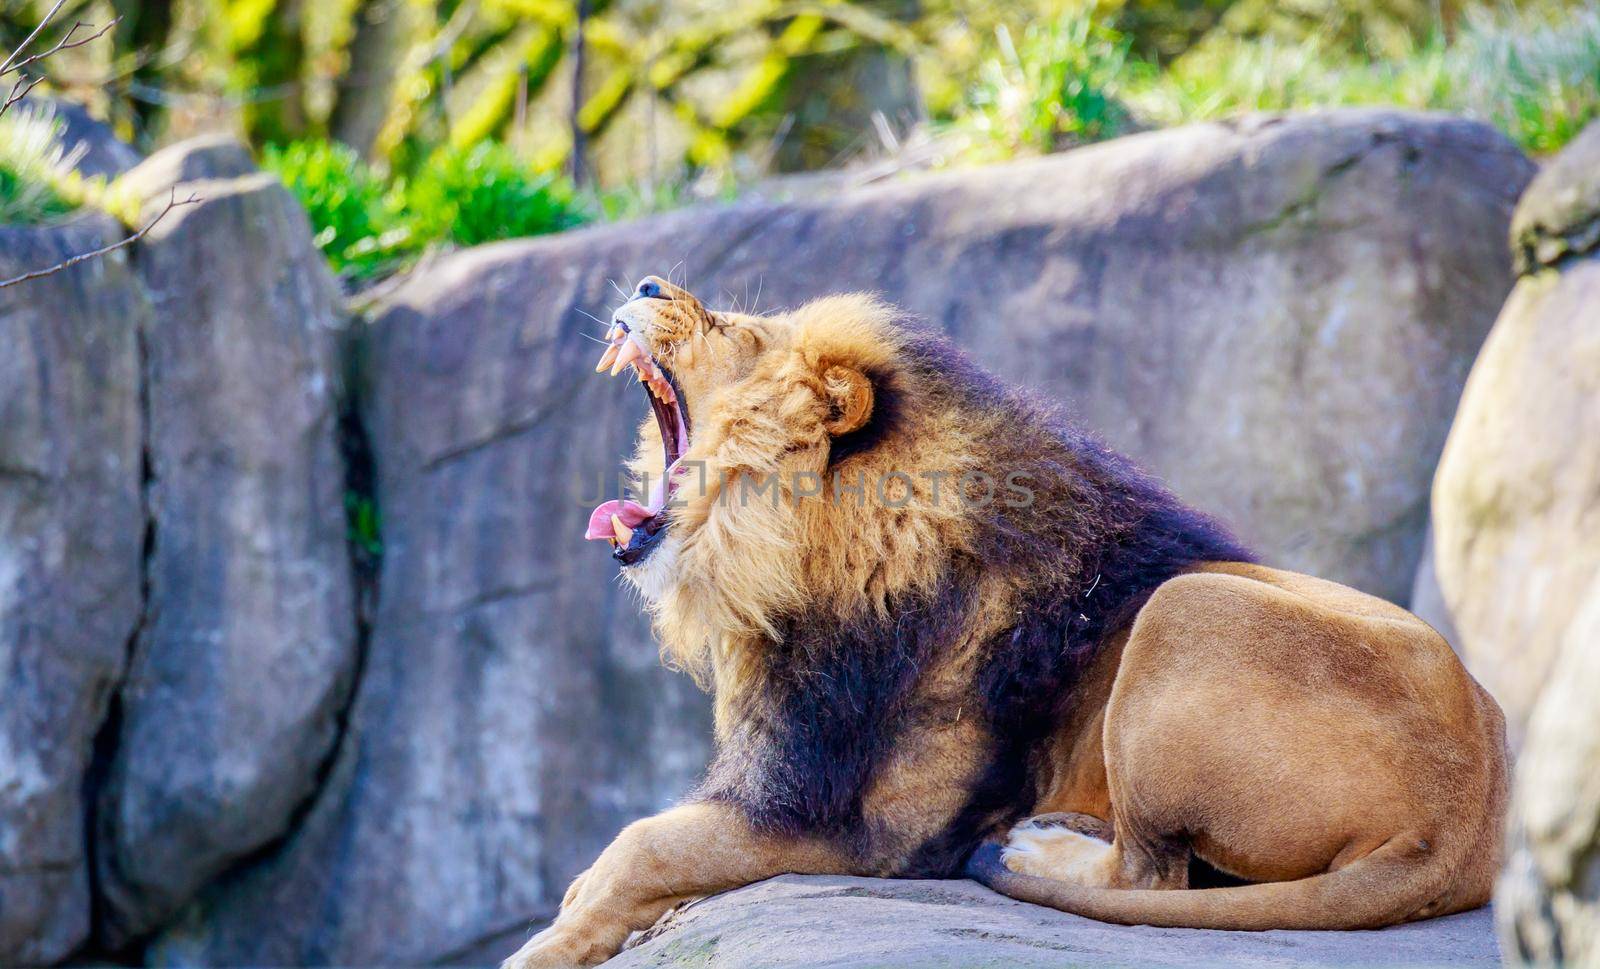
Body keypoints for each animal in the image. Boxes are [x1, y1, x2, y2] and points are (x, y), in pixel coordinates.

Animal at [502, 276, 1510, 965]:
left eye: (736, 331)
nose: (645, 284)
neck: (794, 565)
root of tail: (1465, 823)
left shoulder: (868, 826)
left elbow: (648, 842)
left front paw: (546, 942)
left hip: (1186, 606)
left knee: (1150, 873)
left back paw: (1038, 846)